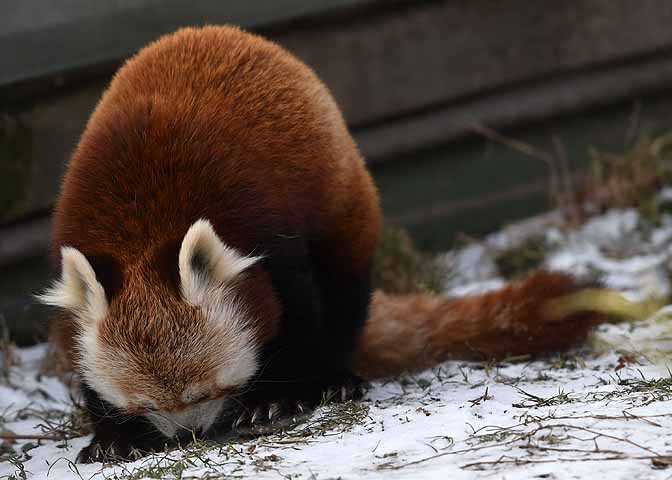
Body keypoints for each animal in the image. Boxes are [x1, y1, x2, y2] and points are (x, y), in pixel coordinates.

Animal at [38, 25, 604, 462]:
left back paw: (337, 376)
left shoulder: (260, 222)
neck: (142, 225)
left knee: (344, 294)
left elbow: (298, 307)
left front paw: (278, 397)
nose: (191, 434)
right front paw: (113, 435)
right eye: (147, 405)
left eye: (212, 389)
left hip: (345, 205)